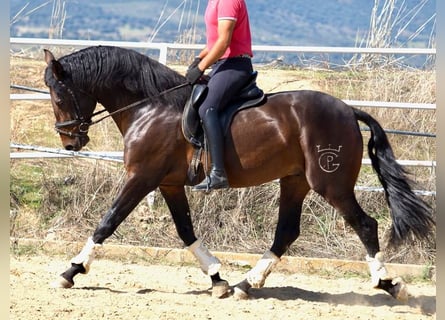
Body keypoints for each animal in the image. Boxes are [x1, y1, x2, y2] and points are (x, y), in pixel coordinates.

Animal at [43, 45, 432, 300]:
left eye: (59, 96)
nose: (70, 142)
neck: (151, 107)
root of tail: (349, 110)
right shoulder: (168, 183)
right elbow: (186, 232)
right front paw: (217, 279)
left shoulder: (142, 177)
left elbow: (107, 223)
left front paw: (71, 271)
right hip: (295, 181)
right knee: (286, 232)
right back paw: (246, 284)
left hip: (330, 182)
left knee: (364, 225)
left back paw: (388, 283)